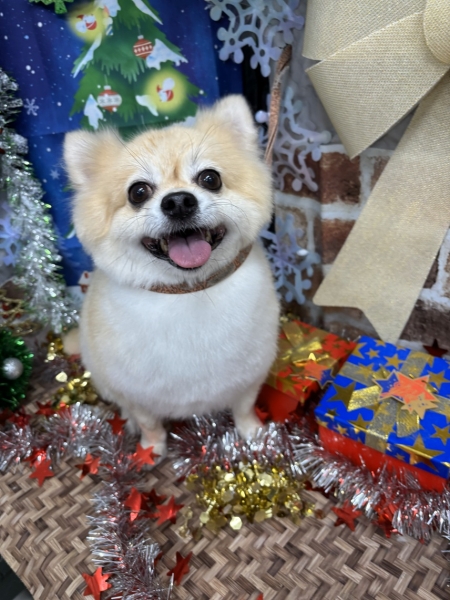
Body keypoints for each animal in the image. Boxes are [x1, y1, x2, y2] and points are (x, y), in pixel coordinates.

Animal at [63, 95, 280, 458]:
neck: (189, 291)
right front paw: (151, 450)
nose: (178, 201)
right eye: (138, 192)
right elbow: (149, 421)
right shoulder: (136, 391)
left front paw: (253, 435)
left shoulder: (251, 375)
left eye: (210, 178)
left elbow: (244, 408)